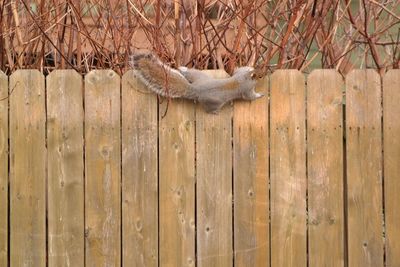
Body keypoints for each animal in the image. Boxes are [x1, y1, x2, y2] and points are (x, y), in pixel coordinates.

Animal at [130, 53, 266, 114]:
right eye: (260, 76)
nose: (264, 74)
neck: (247, 77)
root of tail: (195, 89)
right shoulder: (247, 89)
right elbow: (250, 97)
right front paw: (260, 95)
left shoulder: (240, 73)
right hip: (214, 102)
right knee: (209, 108)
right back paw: (214, 112)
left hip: (200, 76)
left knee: (190, 73)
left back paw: (183, 69)